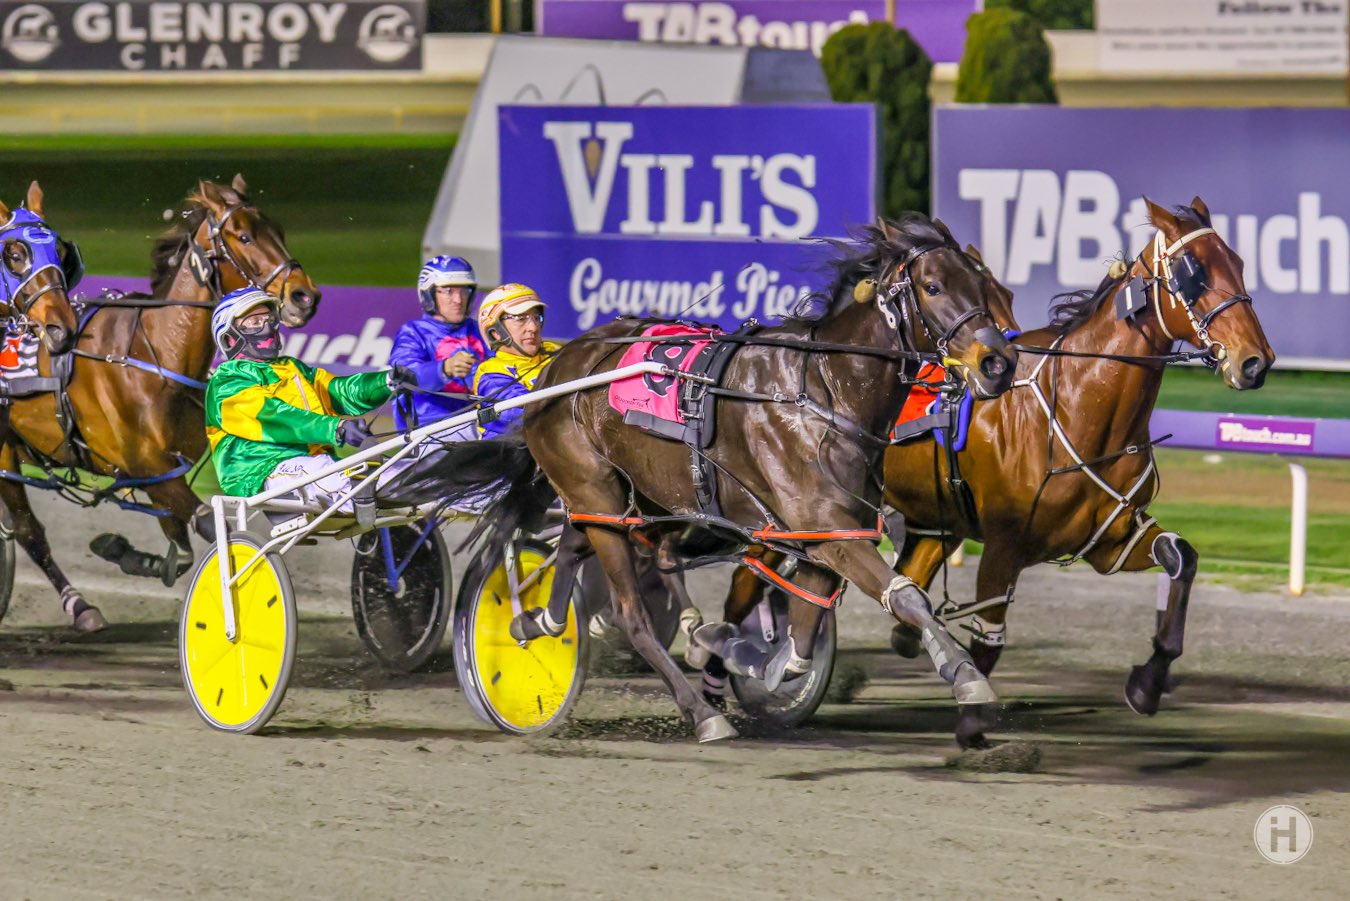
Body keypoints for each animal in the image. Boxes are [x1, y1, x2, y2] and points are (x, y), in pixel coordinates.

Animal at [0, 175, 321, 631]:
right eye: (243, 235)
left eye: (278, 230)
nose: (304, 296)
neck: (155, 353)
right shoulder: (150, 468)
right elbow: (206, 526)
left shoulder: (164, 474)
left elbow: (181, 547)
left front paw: (128, 554)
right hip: (6, 455)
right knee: (30, 531)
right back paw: (81, 607)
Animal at [448, 214, 1019, 741]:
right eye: (933, 286)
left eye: (986, 285)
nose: (998, 363)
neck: (823, 391)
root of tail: (551, 370)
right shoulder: (827, 531)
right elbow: (906, 597)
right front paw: (968, 679)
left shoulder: (830, 532)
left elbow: (799, 642)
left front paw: (741, 652)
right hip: (597, 494)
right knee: (631, 613)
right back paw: (701, 714)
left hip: (628, 500)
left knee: (571, 547)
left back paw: (535, 620)